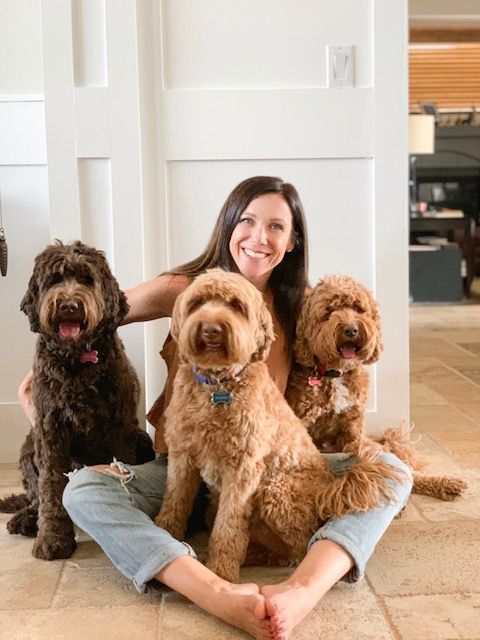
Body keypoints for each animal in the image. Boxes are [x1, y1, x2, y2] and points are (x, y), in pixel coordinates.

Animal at [0, 241, 155, 560]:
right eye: (54, 279)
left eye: (86, 279)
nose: (69, 305)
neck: (76, 363)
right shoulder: (49, 430)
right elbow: (49, 486)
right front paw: (53, 538)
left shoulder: (119, 427)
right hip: (28, 448)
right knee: (35, 495)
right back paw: (27, 518)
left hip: (141, 438)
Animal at [153, 269, 405, 583]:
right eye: (197, 302)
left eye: (236, 305)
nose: (211, 329)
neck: (218, 386)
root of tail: (326, 494)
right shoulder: (182, 457)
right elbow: (174, 501)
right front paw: (165, 533)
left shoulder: (243, 470)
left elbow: (229, 527)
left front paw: (222, 573)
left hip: (276, 490)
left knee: (302, 545)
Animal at [286, 274, 467, 501]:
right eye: (329, 311)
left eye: (358, 309)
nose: (351, 330)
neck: (335, 374)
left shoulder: (353, 426)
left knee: (406, 471)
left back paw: (444, 483)